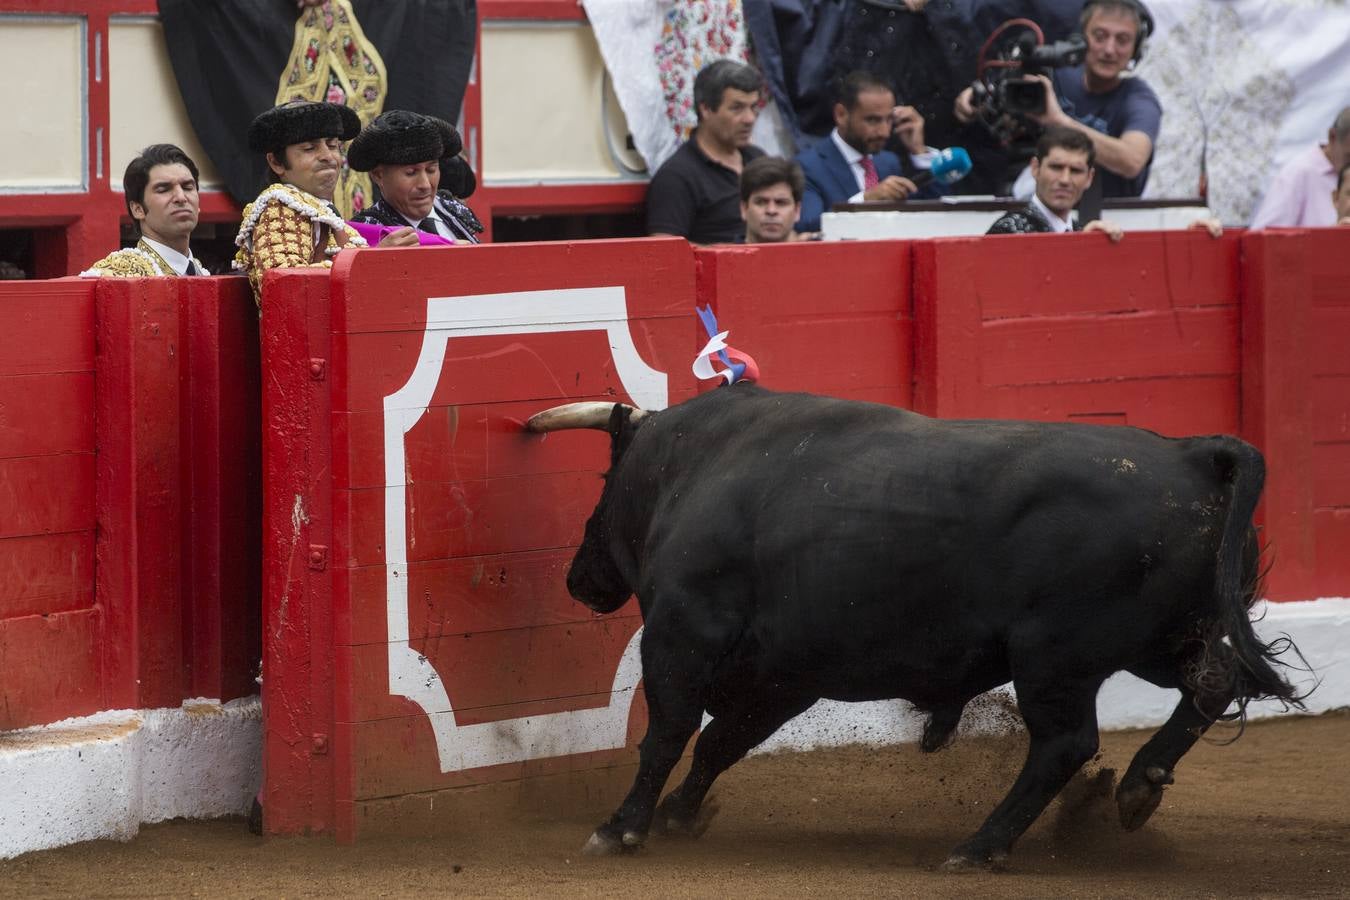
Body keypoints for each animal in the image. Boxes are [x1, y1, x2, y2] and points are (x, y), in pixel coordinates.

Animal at [521, 383, 1301, 868]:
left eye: (604, 481)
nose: (579, 577)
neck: (697, 463)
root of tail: (1190, 455)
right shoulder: (785, 675)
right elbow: (721, 742)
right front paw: (681, 817)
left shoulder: (683, 634)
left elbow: (669, 734)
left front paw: (622, 828)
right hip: (1161, 638)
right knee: (1214, 682)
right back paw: (1139, 789)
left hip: (1055, 658)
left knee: (1065, 745)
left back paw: (980, 847)